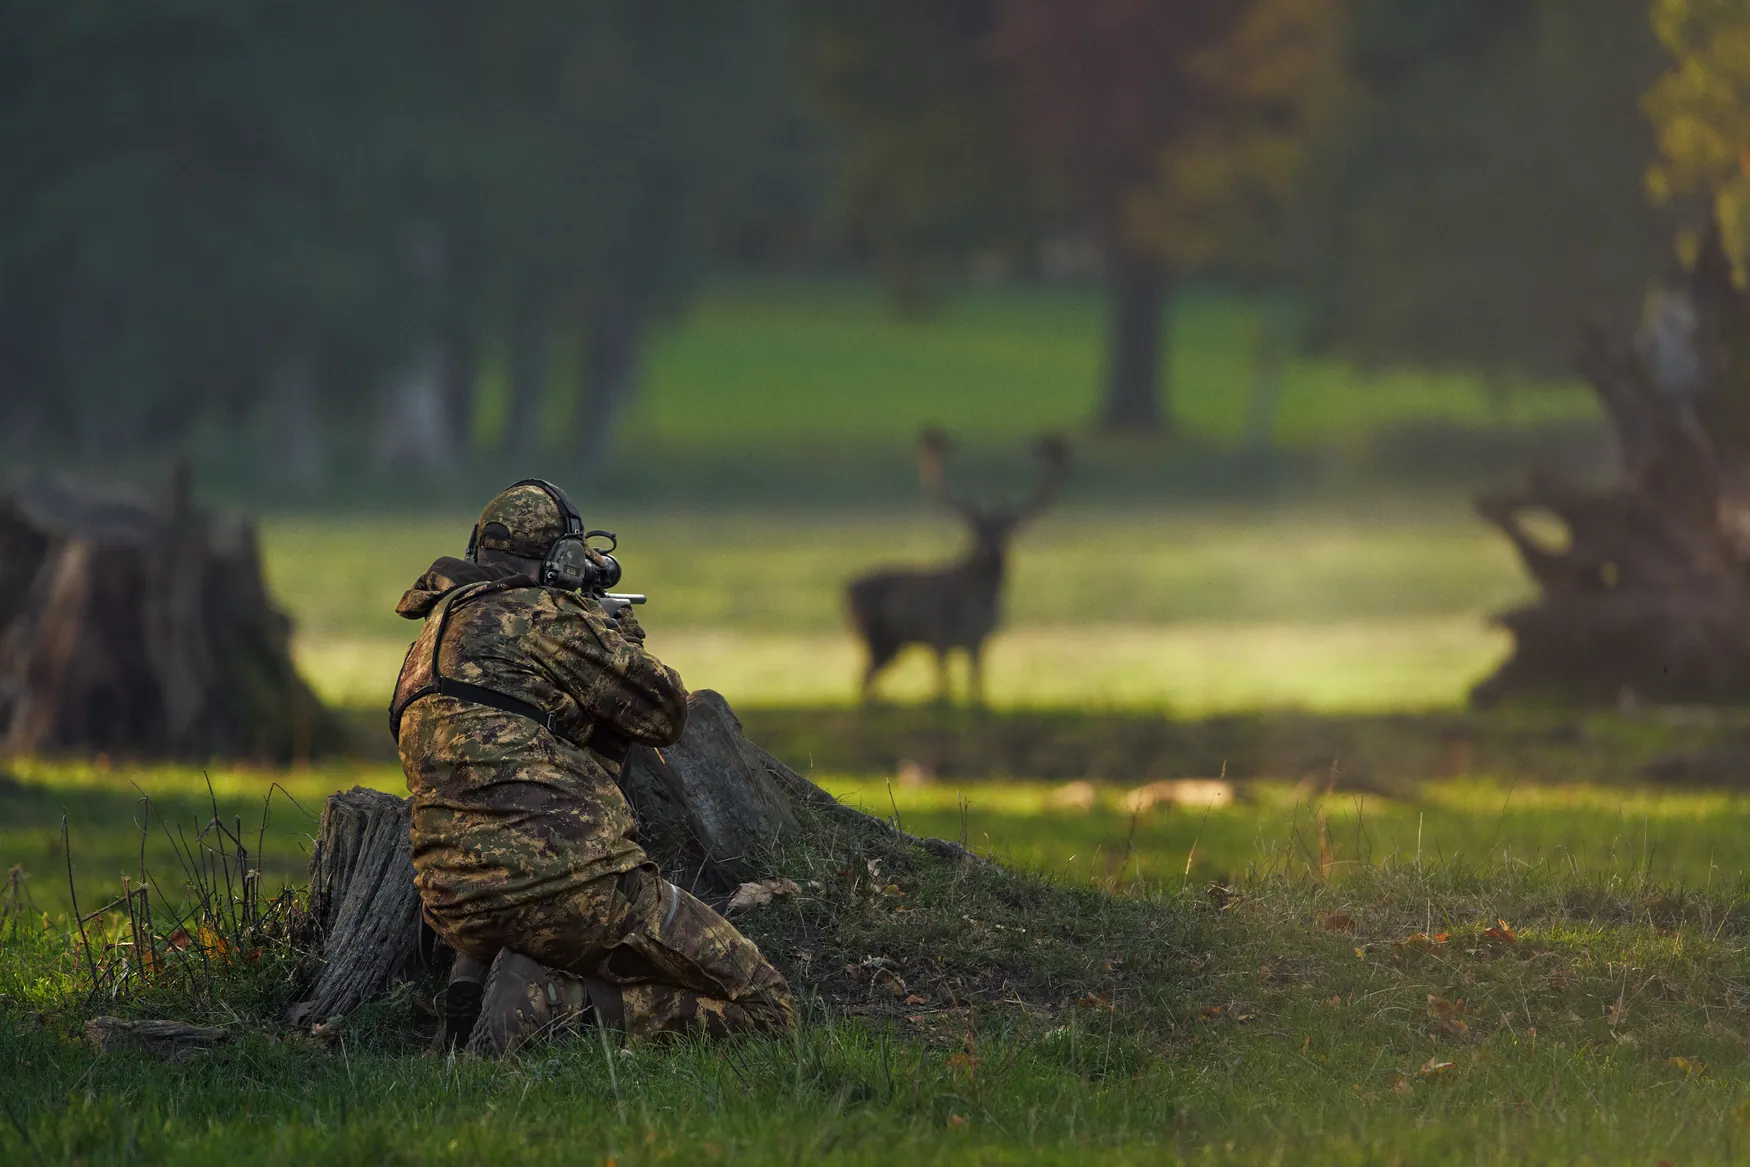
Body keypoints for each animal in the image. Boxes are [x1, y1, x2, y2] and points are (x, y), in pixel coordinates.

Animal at [846, 429, 1070, 705]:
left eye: (1005, 532)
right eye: (974, 530)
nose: (988, 553)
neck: (975, 607)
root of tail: (844, 589)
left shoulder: (981, 641)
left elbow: (976, 688)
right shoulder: (938, 635)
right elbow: (944, 689)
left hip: (892, 643)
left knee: (866, 676)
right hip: (872, 635)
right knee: (864, 677)